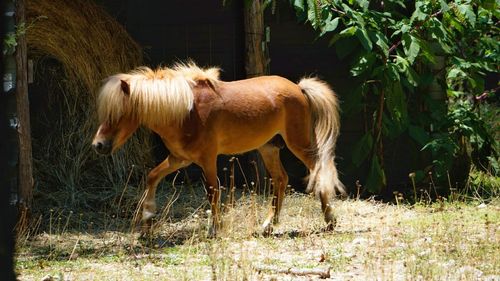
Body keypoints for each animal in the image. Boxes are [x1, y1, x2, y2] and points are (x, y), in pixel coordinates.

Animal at [93, 61, 344, 234]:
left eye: (118, 114)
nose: (98, 145)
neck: (187, 111)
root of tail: (299, 88)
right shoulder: (179, 158)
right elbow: (152, 176)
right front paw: (147, 219)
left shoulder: (207, 159)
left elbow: (213, 191)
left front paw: (214, 228)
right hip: (269, 148)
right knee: (281, 179)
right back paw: (268, 225)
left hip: (298, 144)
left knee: (319, 170)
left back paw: (330, 220)